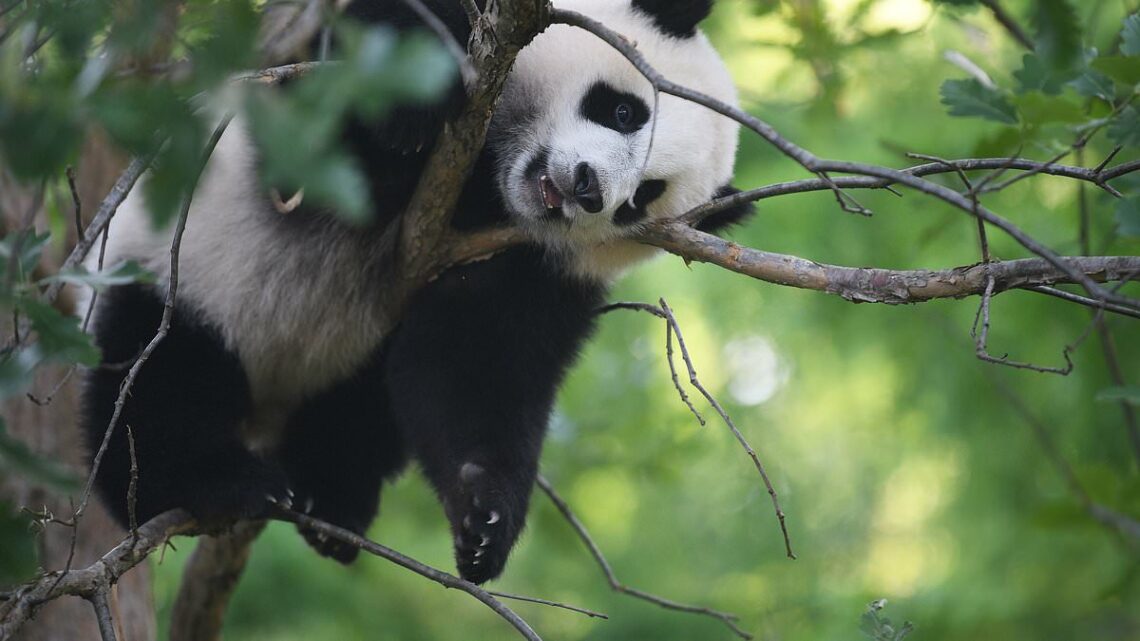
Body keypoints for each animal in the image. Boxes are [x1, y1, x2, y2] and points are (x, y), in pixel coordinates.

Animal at [82, 0, 756, 581]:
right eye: (623, 111)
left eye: (643, 197)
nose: (589, 189)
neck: (493, 187)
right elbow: (332, 131)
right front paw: (412, 110)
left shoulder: (530, 269)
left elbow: (475, 364)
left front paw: (484, 516)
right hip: (174, 275)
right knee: (159, 379)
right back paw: (214, 482)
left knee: (365, 409)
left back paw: (333, 502)